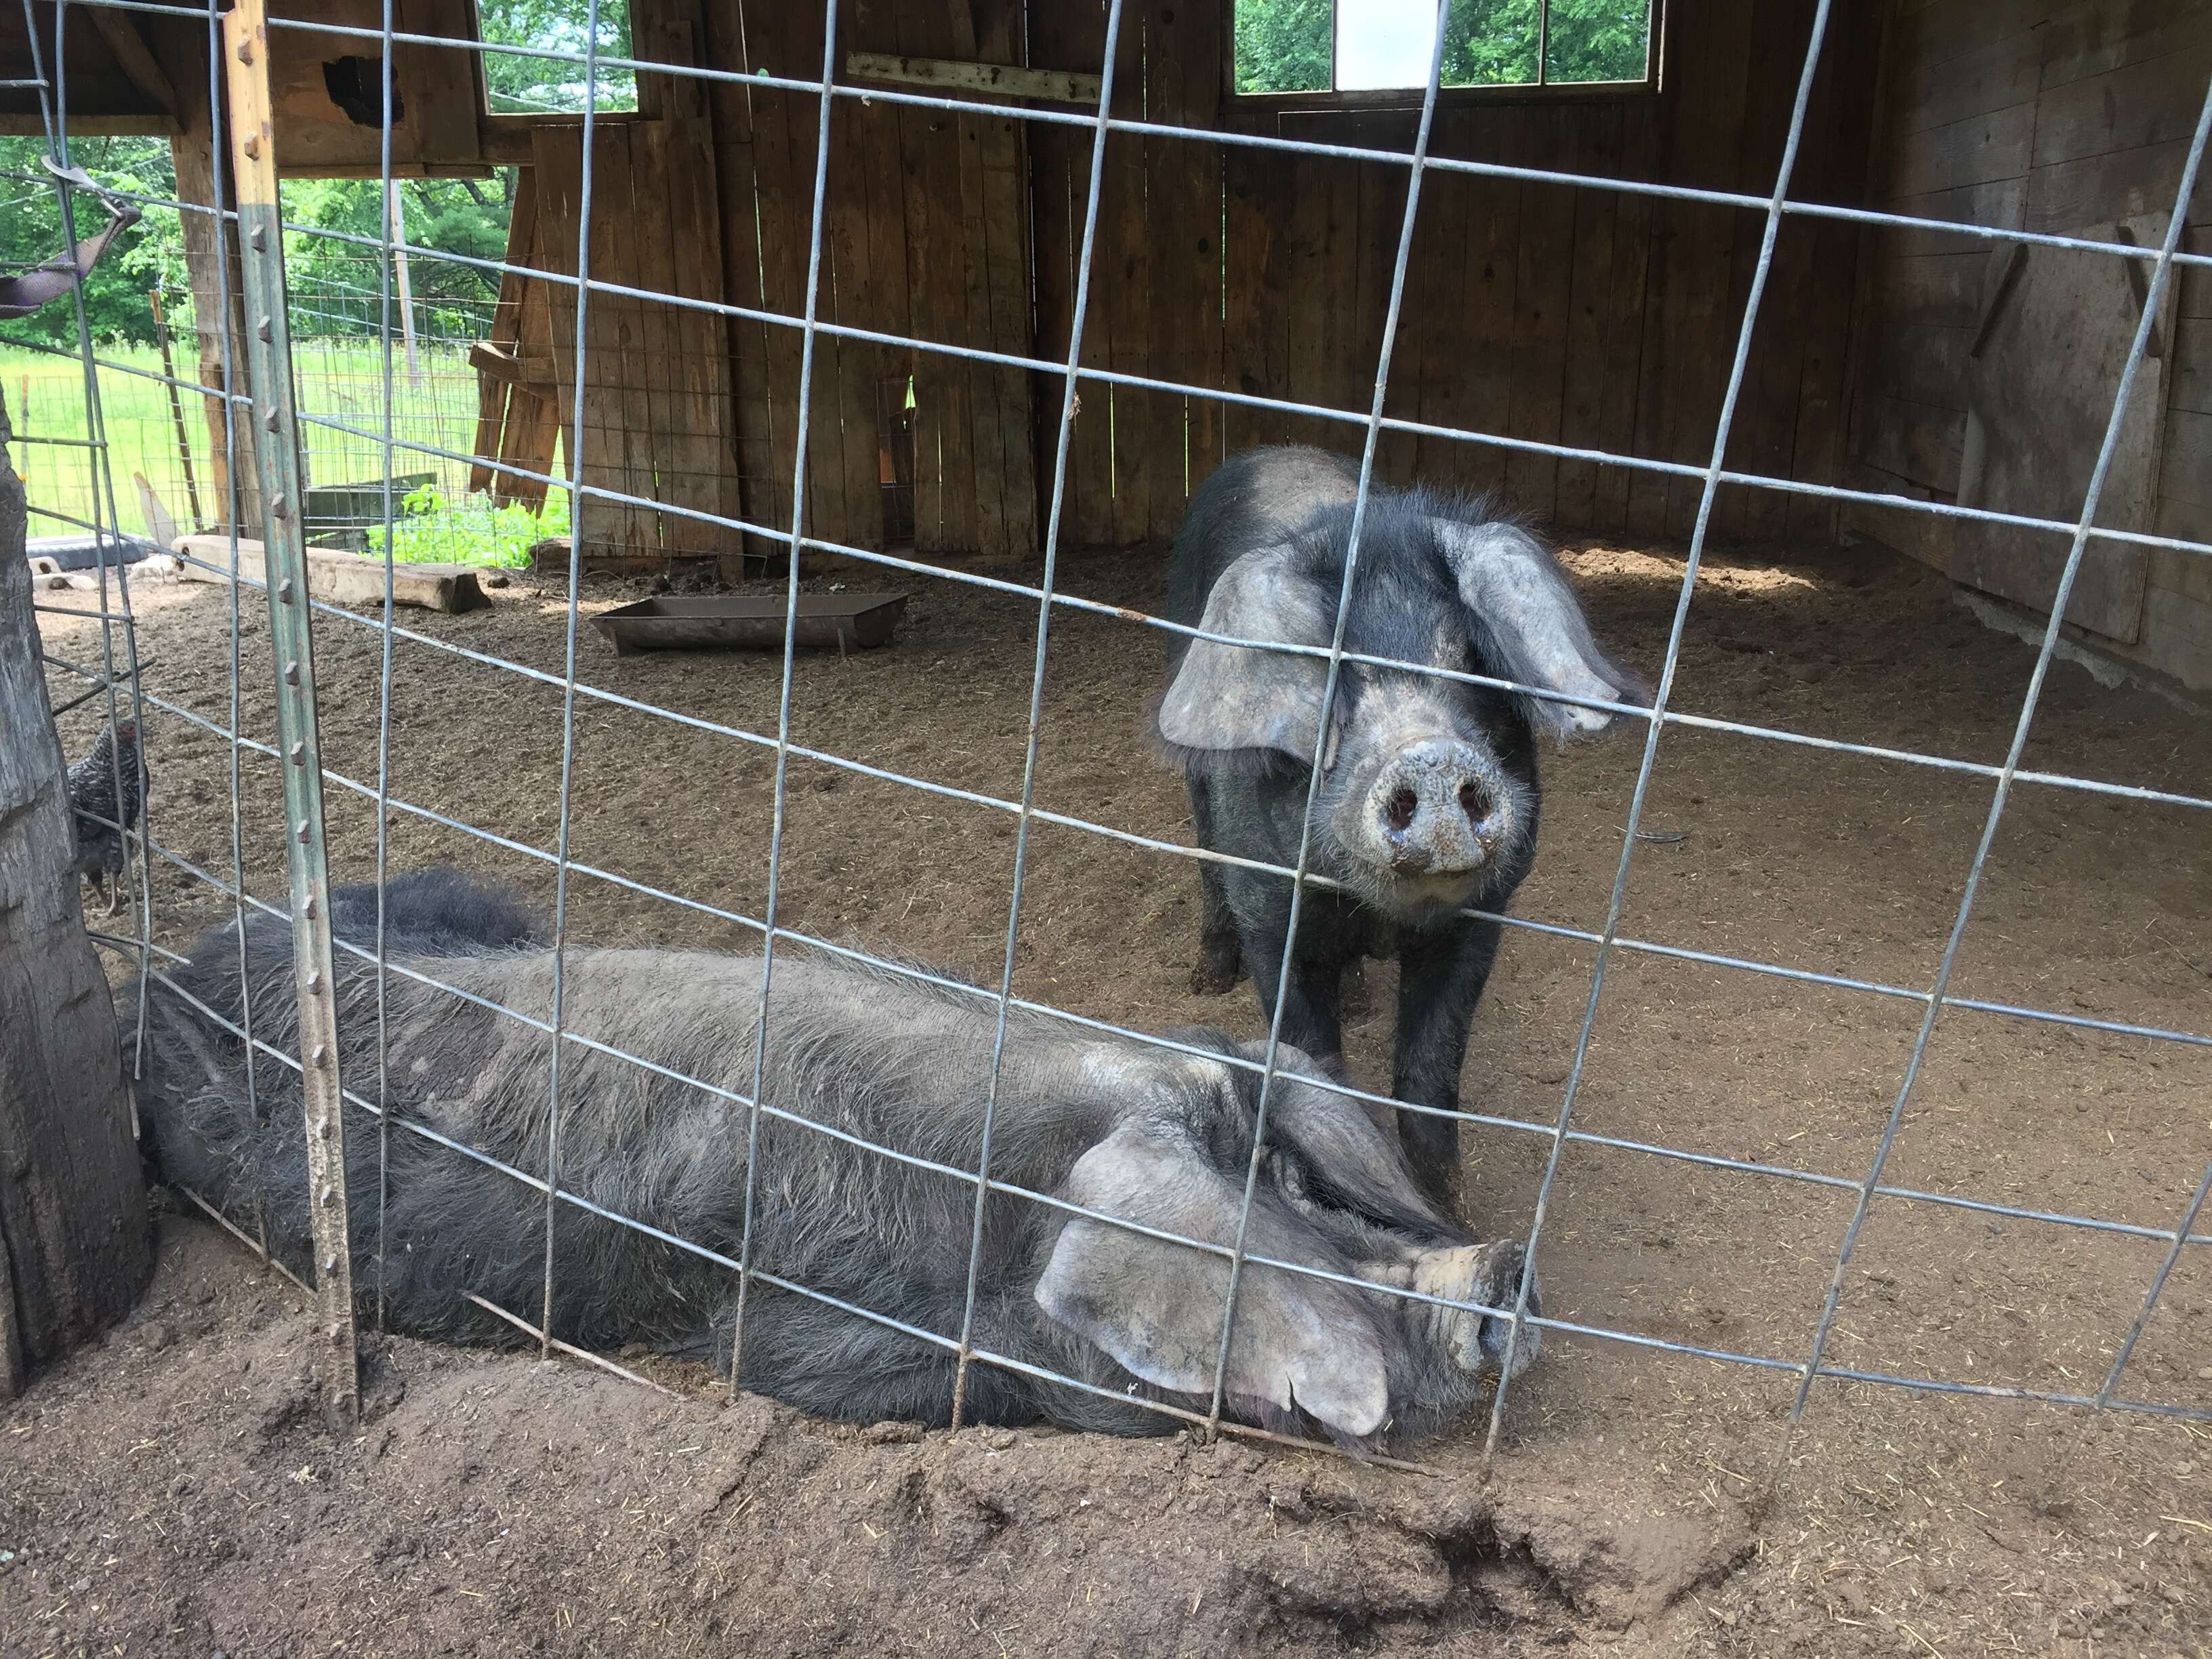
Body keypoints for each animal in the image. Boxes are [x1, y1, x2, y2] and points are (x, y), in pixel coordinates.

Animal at [1159, 445, 1645, 1212]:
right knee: (1205, 855)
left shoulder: (1481, 918)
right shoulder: (1271, 913)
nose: (1432, 755)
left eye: (1473, 663)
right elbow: (1310, 1059)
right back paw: (1207, 978)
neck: (1379, 914)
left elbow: (1428, 1078)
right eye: (1331, 674)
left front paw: (1454, 1216)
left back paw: (1360, 999)